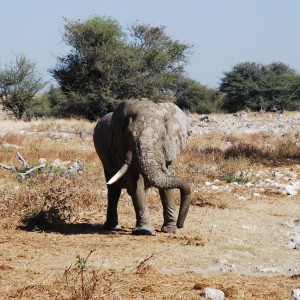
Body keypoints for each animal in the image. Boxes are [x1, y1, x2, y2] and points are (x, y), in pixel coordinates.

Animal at [94, 98, 191, 234]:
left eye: (163, 136)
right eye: (128, 136)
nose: (180, 224)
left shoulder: (169, 148)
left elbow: (167, 183)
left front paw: (172, 230)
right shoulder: (120, 146)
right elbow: (135, 182)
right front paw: (144, 231)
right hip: (105, 159)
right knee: (113, 189)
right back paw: (112, 227)